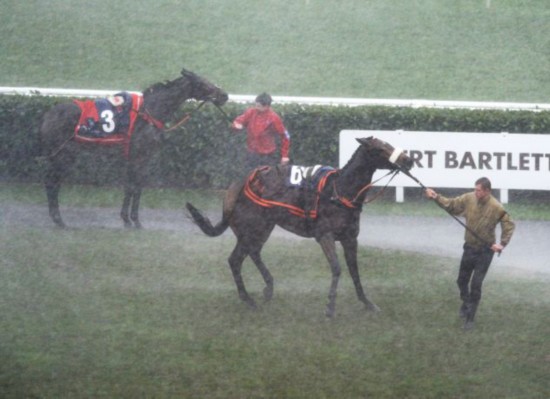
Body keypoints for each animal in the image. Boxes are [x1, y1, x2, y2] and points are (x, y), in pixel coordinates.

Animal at [40, 68, 227, 228]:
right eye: (203, 83)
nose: (224, 95)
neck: (149, 113)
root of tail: (49, 115)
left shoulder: (132, 158)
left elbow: (129, 187)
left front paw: (126, 219)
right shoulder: (140, 156)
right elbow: (136, 187)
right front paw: (135, 221)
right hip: (64, 154)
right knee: (52, 181)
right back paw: (59, 220)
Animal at [188, 138, 416, 318]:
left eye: (388, 143)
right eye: (381, 148)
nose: (409, 159)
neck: (339, 192)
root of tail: (238, 186)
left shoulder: (350, 238)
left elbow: (354, 271)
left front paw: (367, 303)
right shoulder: (325, 236)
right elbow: (337, 268)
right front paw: (330, 306)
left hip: (263, 228)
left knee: (253, 252)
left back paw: (268, 288)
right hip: (251, 228)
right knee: (235, 259)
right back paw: (248, 299)